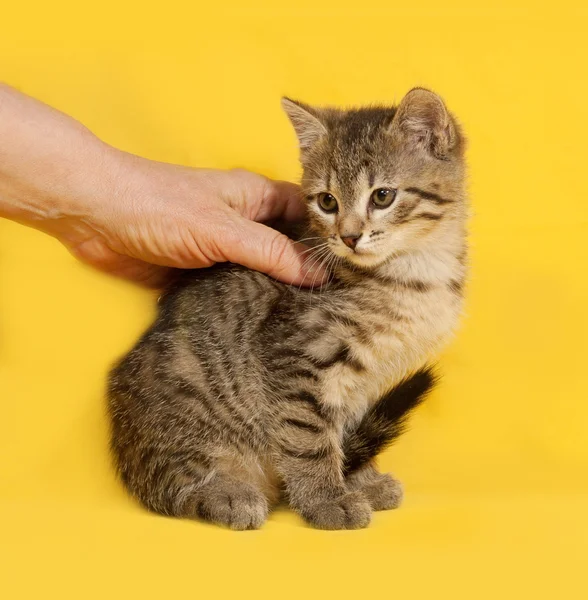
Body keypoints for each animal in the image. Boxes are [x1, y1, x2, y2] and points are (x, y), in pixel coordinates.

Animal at [108, 88, 468, 528]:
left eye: (383, 196)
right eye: (327, 201)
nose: (349, 237)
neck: (414, 271)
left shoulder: (364, 381)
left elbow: (343, 432)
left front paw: (359, 481)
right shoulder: (295, 355)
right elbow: (308, 435)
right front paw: (327, 499)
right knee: (170, 488)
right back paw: (226, 494)